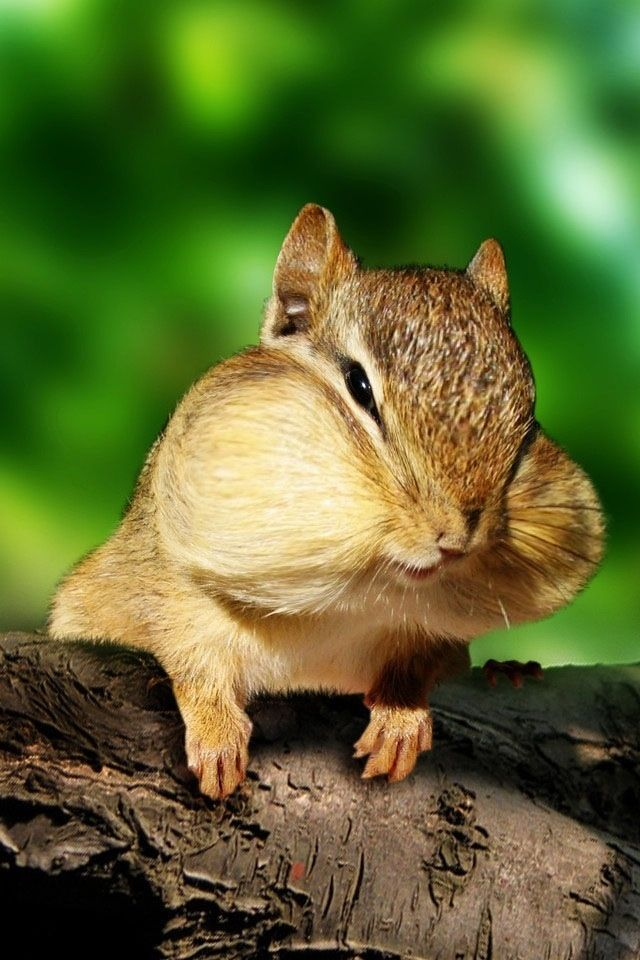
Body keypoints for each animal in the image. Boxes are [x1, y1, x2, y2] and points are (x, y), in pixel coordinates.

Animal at [48, 204, 604, 799]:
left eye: (529, 426)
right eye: (358, 386)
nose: (457, 538)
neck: (357, 593)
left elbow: (426, 656)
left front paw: (400, 716)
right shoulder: (166, 581)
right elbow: (189, 653)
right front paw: (216, 734)